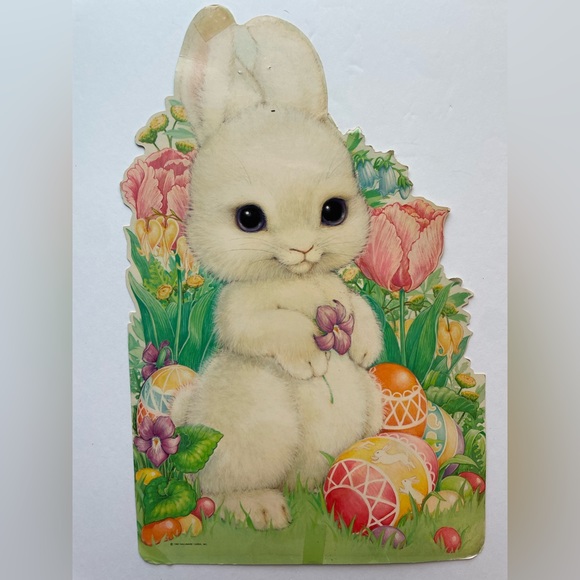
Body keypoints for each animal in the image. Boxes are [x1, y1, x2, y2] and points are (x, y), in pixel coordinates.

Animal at [170, 5, 384, 530]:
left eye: (333, 211)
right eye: (249, 219)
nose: (304, 249)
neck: (297, 279)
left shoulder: (339, 291)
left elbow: (357, 306)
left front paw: (364, 348)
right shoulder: (238, 311)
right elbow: (260, 326)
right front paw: (310, 359)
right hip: (259, 420)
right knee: (217, 489)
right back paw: (261, 510)